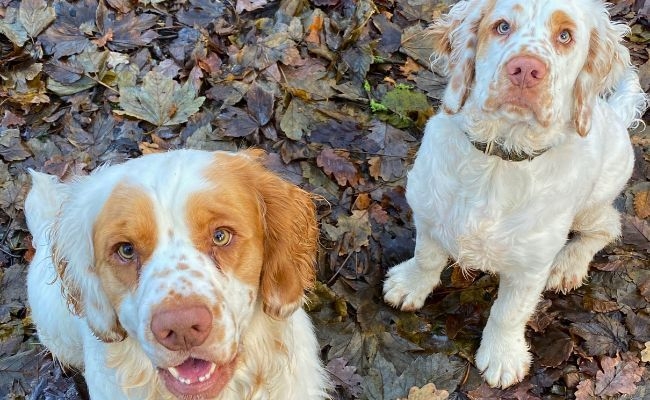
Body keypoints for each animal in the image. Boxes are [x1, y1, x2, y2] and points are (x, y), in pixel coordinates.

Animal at [382, 0, 644, 390]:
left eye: (565, 36)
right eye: (502, 26)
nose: (526, 70)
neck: (500, 159)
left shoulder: (530, 265)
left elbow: (510, 311)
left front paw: (502, 356)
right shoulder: (429, 209)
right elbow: (427, 257)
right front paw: (409, 285)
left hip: (592, 203)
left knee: (609, 226)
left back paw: (568, 266)